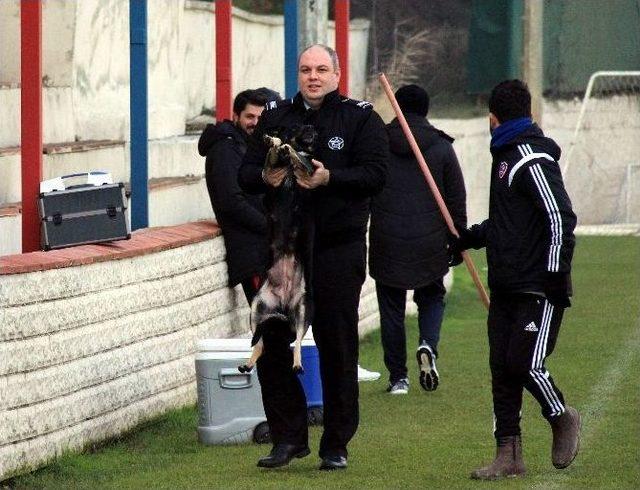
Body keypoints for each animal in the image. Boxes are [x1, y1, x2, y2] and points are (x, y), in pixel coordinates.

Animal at [239, 124, 316, 374]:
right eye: (298, 126)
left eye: (312, 128)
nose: (312, 128)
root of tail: (282, 307)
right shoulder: (271, 170)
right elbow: (272, 156)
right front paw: (275, 143)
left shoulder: (309, 170)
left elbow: (297, 156)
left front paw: (284, 147)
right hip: (256, 309)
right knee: (260, 344)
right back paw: (247, 364)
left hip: (302, 311)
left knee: (298, 342)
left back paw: (298, 364)